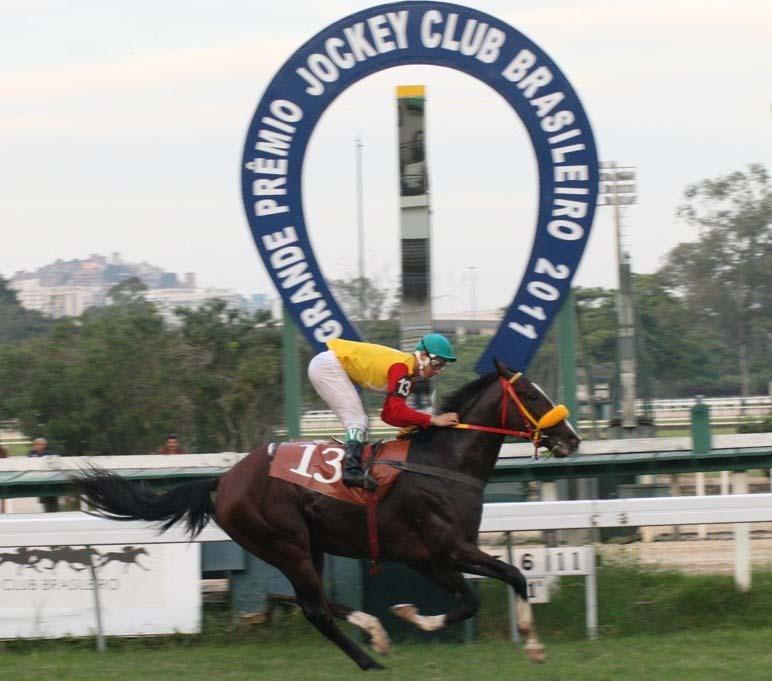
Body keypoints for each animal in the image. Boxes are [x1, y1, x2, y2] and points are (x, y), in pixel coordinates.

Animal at [75, 362, 580, 668]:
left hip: (307, 546)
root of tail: (225, 480)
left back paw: (375, 633)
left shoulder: (428, 557)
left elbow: (476, 596)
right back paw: (371, 660)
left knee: (311, 602)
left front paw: (410, 615)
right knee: (315, 608)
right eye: (532, 395)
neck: (441, 463)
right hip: (286, 544)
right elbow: (509, 577)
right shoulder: (447, 548)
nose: (572, 440)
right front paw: (532, 644)